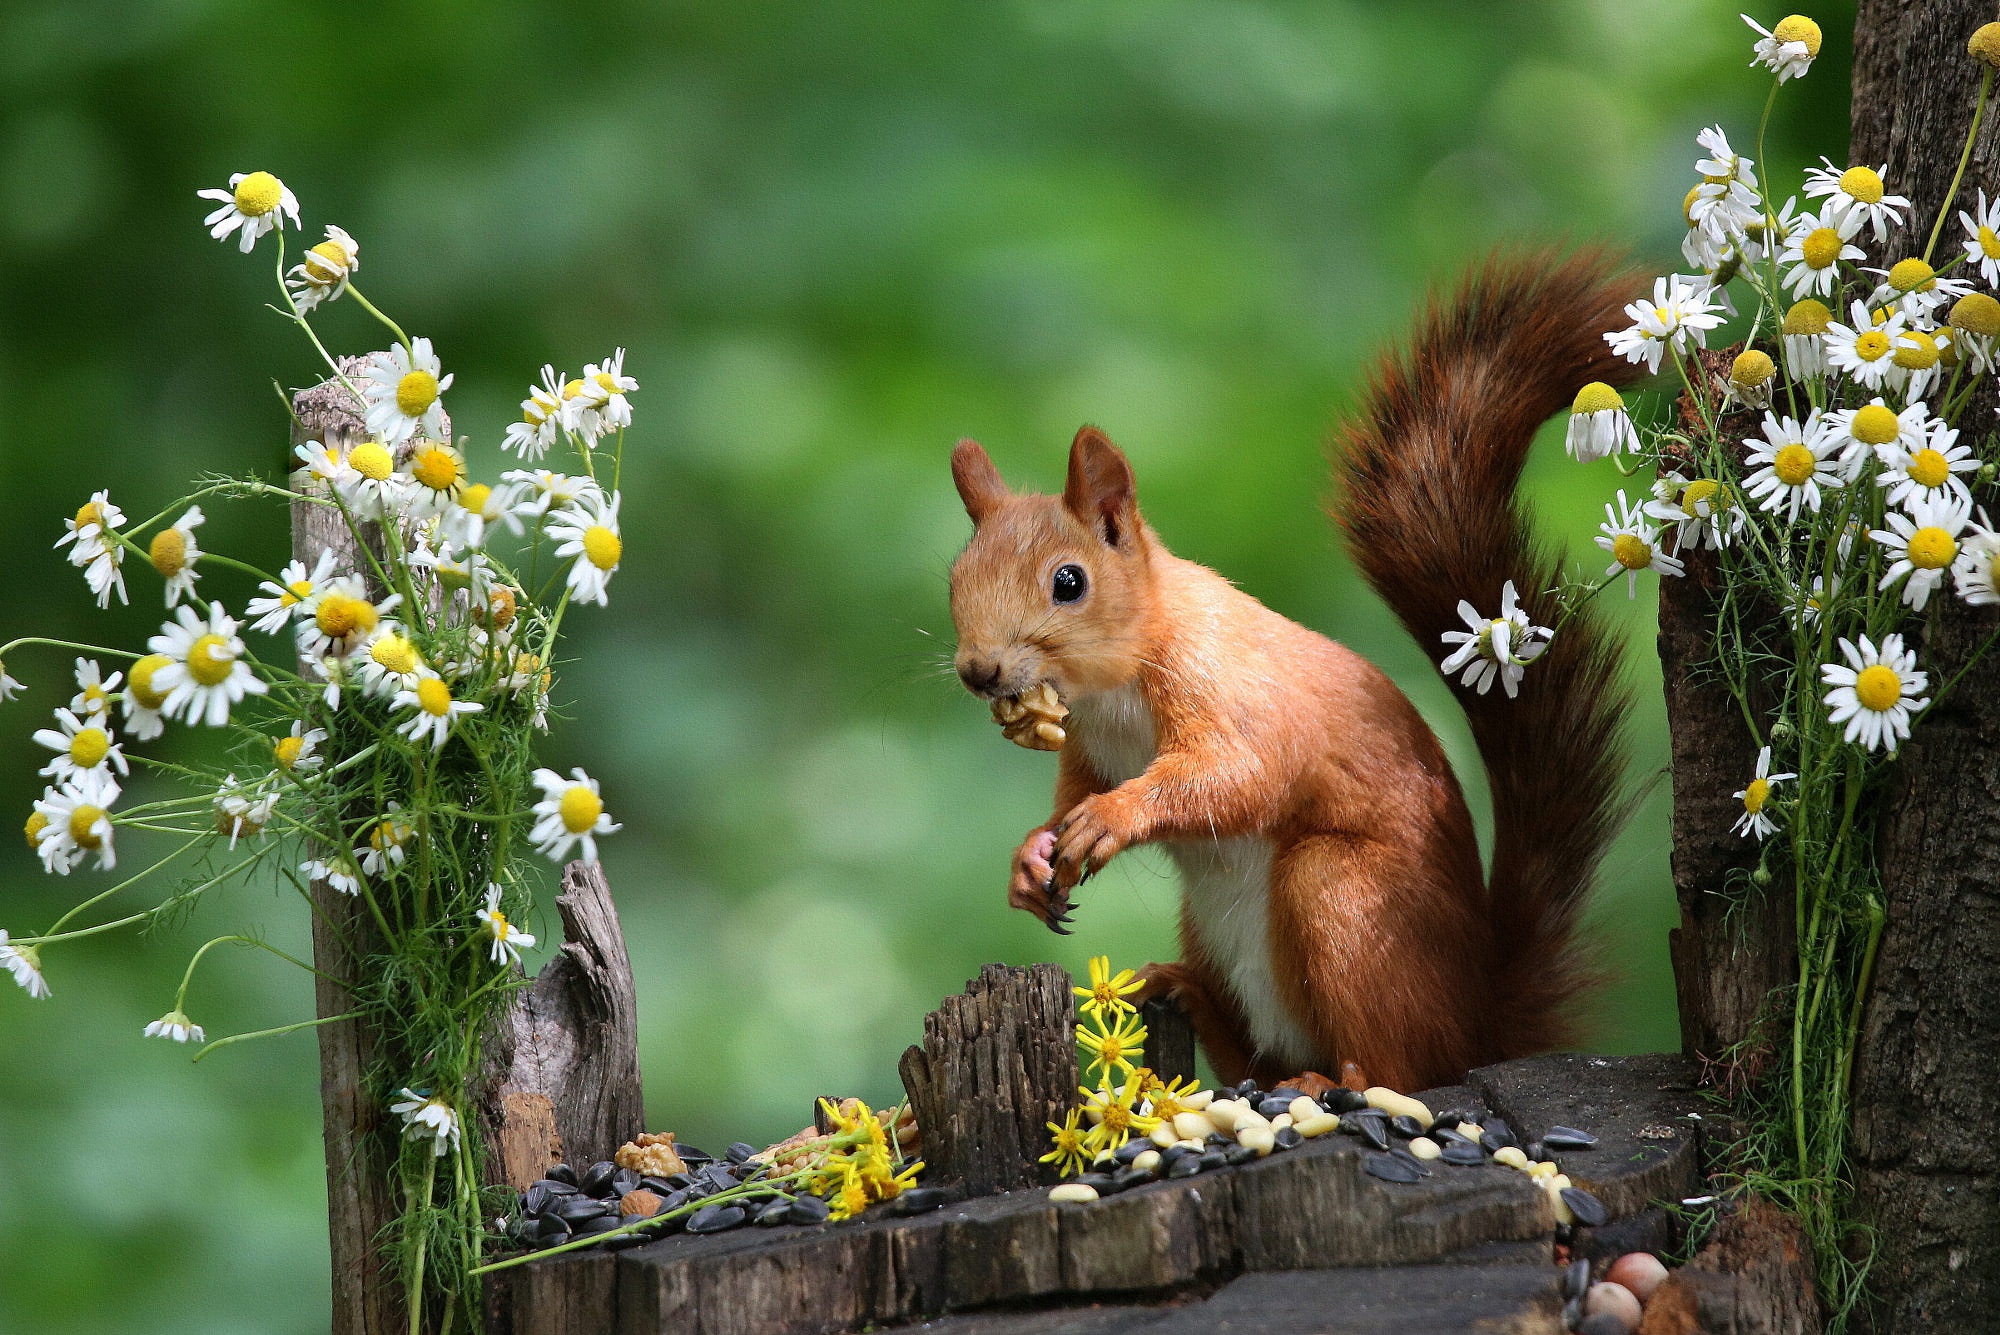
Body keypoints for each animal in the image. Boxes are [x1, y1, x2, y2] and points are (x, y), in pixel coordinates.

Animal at [944, 252, 1648, 1095]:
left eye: (1069, 581)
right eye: (954, 579)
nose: (979, 671)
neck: (1114, 687)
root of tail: (1480, 1024)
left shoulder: (1228, 692)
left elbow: (1234, 775)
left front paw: (1113, 816)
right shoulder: (1088, 747)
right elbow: (1069, 794)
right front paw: (1033, 854)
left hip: (1338, 896)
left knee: (1395, 1067)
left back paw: (1328, 1083)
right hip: (1214, 928)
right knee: (1256, 1055)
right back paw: (1187, 997)